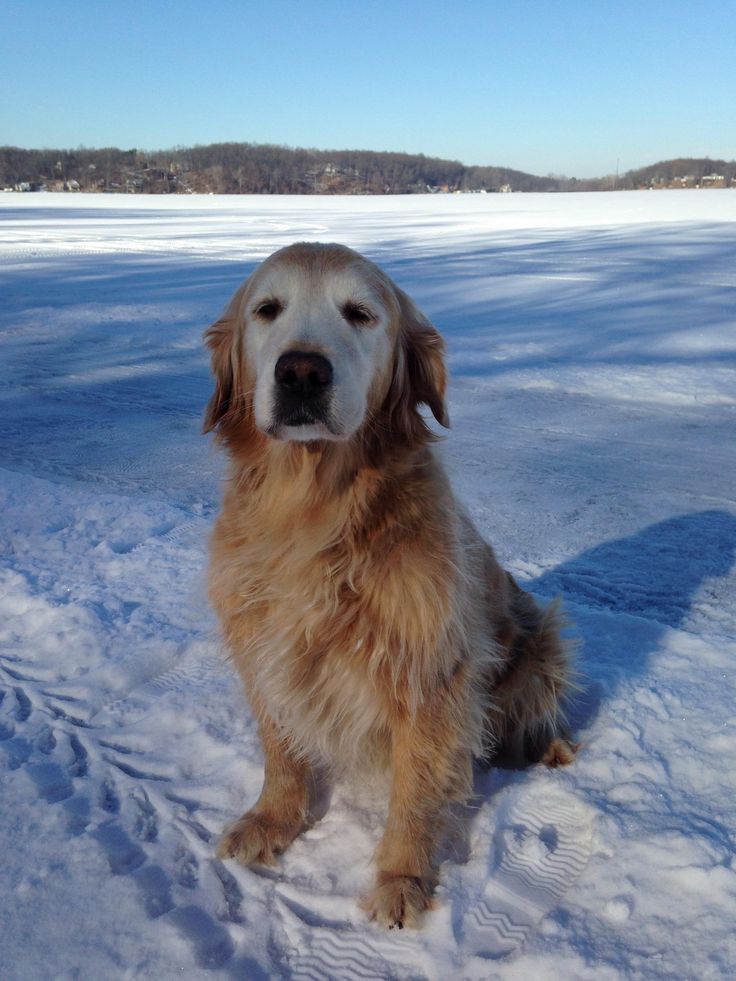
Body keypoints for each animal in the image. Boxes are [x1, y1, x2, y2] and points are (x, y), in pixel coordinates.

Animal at [203, 243, 576, 928]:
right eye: (267, 309)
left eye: (360, 313)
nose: (301, 372)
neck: (314, 509)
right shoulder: (263, 649)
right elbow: (281, 751)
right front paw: (271, 820)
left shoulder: (430, 672)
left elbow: (416, 790)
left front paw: (403, 879)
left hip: (544, 642)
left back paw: (548, 750)